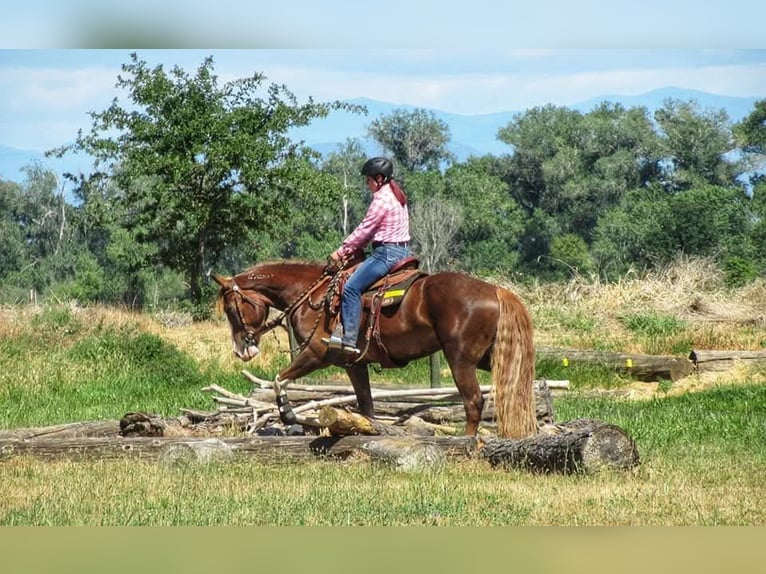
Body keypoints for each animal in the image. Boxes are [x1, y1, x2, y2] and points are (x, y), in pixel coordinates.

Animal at [207, 258, 536, 438]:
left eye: (232, 310)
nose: (242, 351)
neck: (313, 297)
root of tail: (497, 290)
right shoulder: (354, 365)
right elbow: (366, 405)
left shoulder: (317, 354)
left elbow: (279, 379)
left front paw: (288, 414)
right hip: (490, 357)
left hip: (461, 360)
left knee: (473, 402)